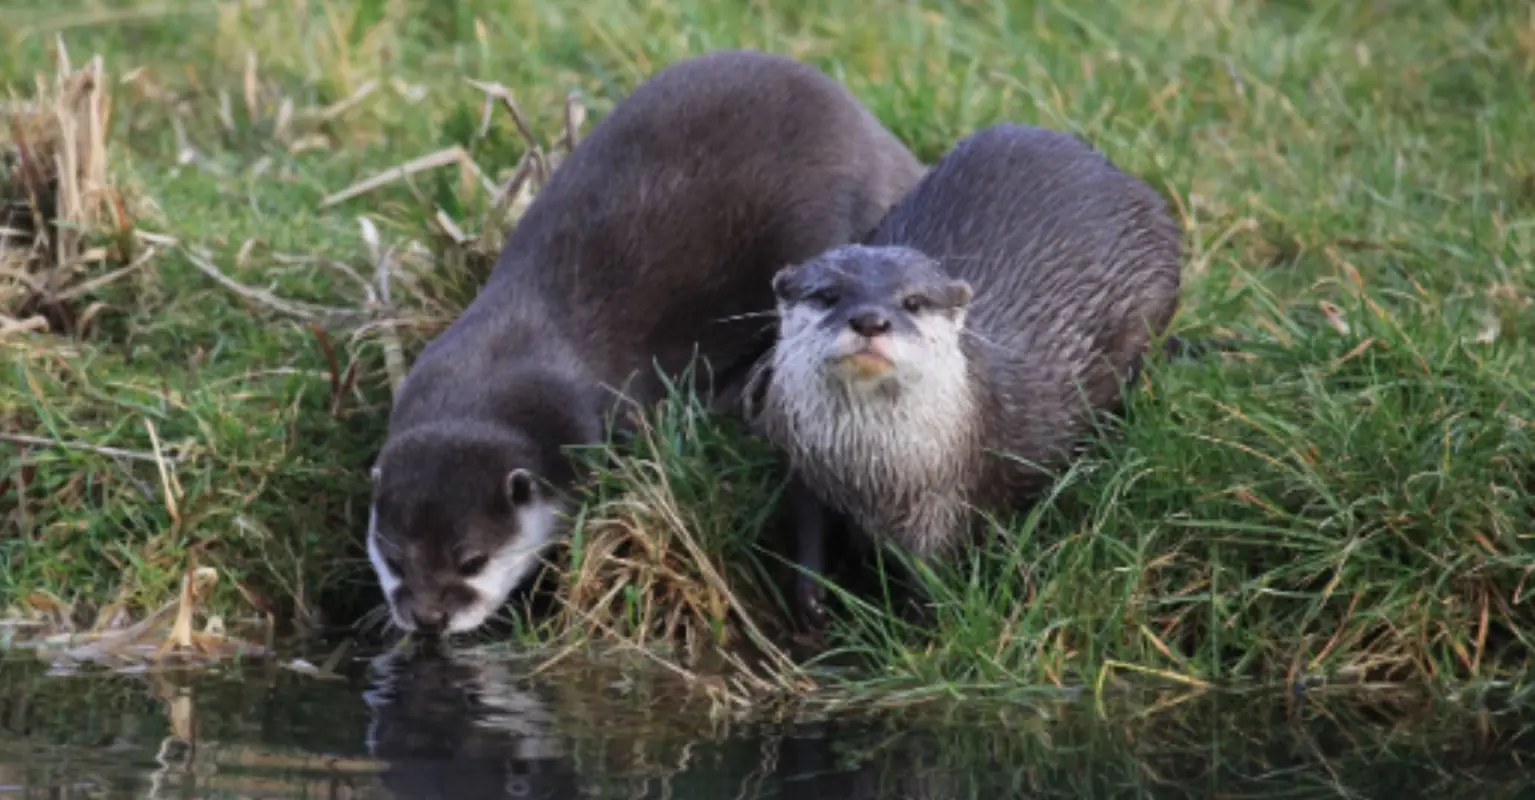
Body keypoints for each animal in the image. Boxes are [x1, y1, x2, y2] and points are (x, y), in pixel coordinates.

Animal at [749, 123, 1182, 626]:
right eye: (827, 295)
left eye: (913, 301)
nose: (871, 320)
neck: (868, 474)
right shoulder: (804, 466)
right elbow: (807, 532)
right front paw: (813, 601)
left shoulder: (948, 498)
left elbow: (930, 574)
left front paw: (914, 626)